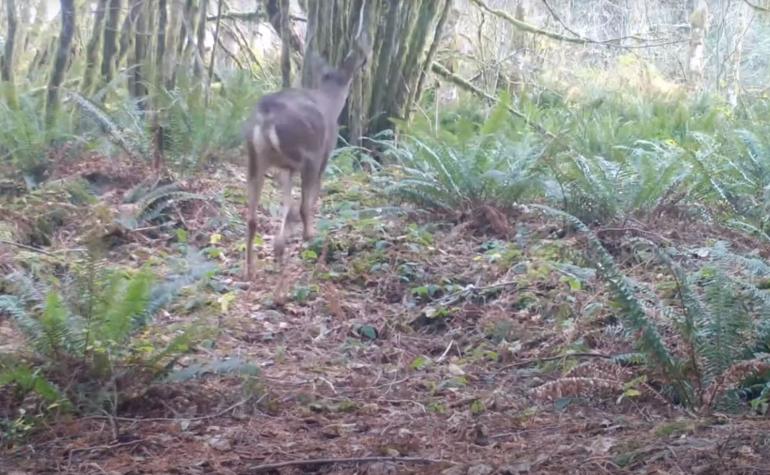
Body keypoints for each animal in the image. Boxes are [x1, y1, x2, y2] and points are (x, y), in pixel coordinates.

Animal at [242, 32, 370, 282]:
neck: (330, 99)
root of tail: (265, 116)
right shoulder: (323, 156)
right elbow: (307, 200)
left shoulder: (285, 168)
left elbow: (286, 202)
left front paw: (279, 249)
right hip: (306, 154)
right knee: (300, 207)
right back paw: (311, 245)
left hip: (255, 156)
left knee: (253, 217)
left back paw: (253, 268)